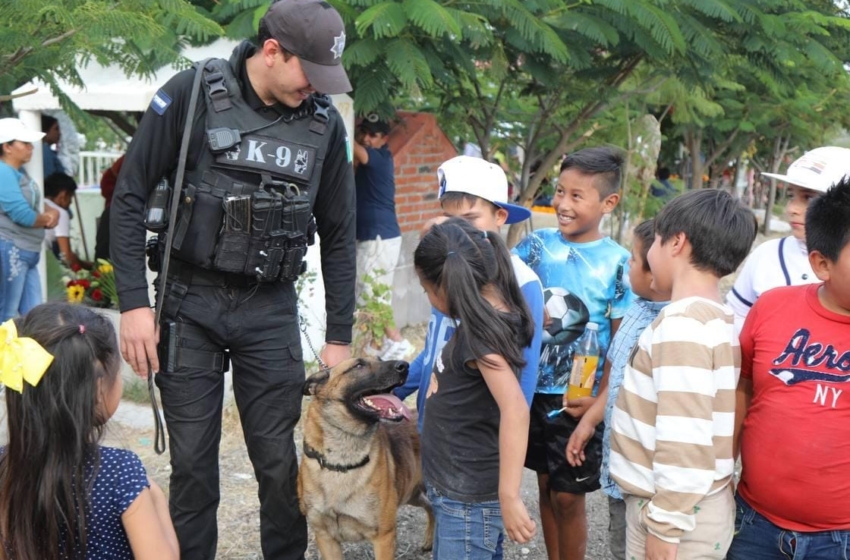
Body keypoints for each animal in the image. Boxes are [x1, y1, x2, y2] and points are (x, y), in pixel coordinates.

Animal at [296, 358, 430, 560]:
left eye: (380, 360)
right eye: (358, 365)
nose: (404, 365)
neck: (341, 462)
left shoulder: (384, 537)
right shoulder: (326, 538)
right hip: (411, 493)